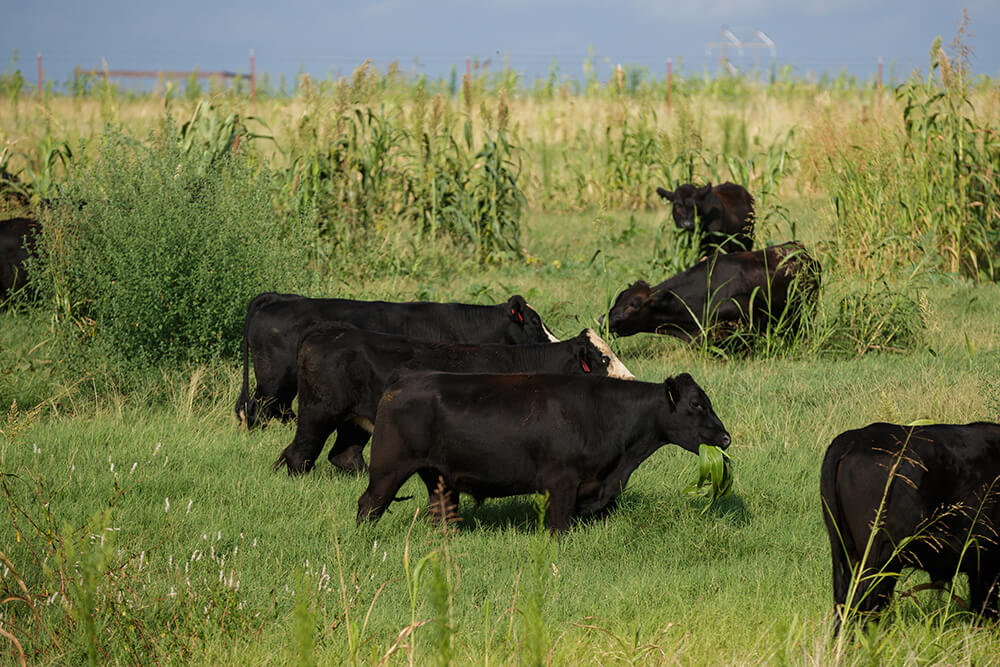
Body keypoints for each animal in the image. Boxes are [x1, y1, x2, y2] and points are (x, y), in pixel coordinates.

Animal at [273, 327, 634, 475]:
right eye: (604, 359)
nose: (631, 381)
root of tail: (321, 335)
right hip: (319, 413)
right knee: (299, 453)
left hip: (354, 421)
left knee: (344, 455)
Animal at [357, 371, 730, 532]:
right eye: (697, 404)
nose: (726, 438)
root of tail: (400, 384)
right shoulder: (561, 482)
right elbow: (559, 527)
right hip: (388, 469)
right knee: (368, 505)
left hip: (439, 478)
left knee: (443, 513)